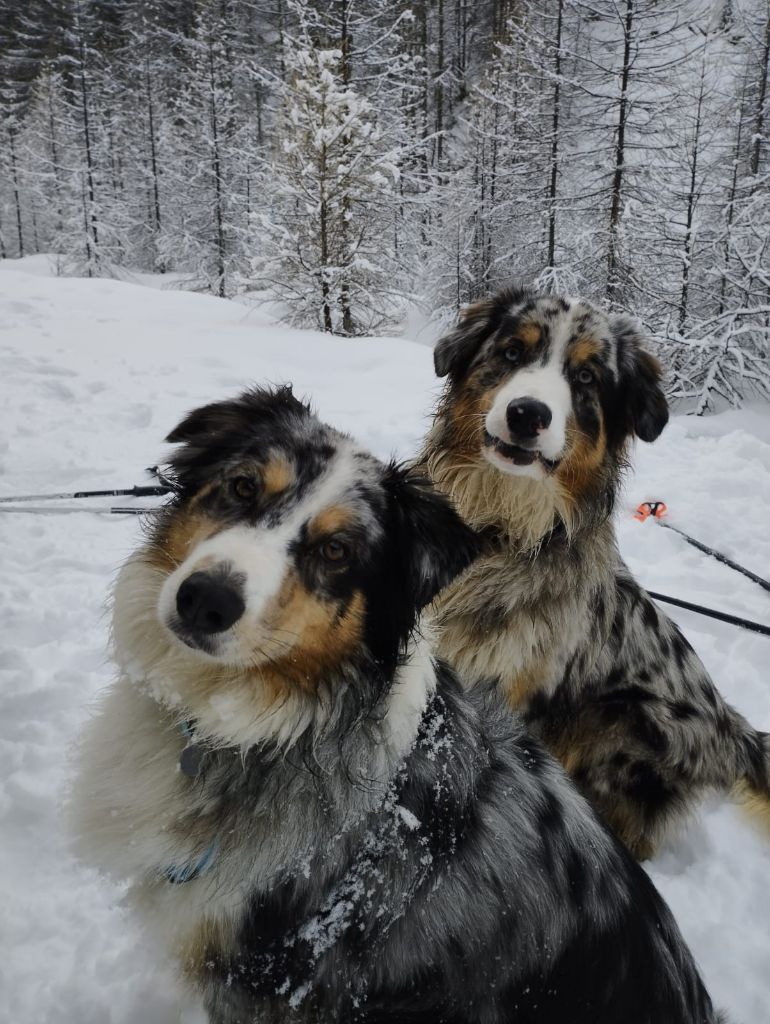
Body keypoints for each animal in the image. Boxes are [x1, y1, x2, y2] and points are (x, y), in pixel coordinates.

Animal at [422, 284, 770, 860]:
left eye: (586, 378)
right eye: (512, 351)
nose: (527, 414)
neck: (503, 523)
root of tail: (731, 727)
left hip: (623, 720)